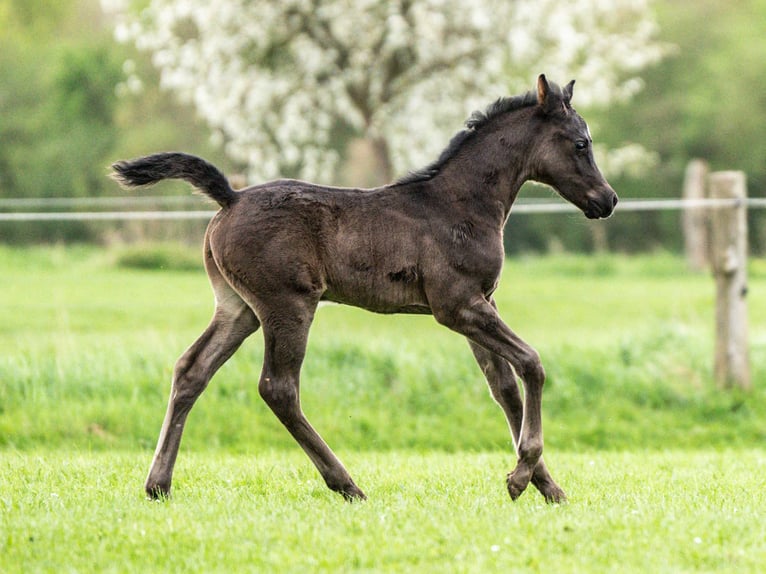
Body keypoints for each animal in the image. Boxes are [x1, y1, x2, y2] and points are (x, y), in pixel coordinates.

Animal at [112, 74, 617, 504]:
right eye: (581, 142)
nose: (608, 200)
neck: (460, 205)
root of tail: (230, 198)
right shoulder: (457, 306)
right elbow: (531, 363)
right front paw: (521, 476)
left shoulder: (481, 302)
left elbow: (505, 388)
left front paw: (546, 487)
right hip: (287, 305)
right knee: (279, 388)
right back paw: (346, 484)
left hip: (238, 308)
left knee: (191, 370)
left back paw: (158, 485)